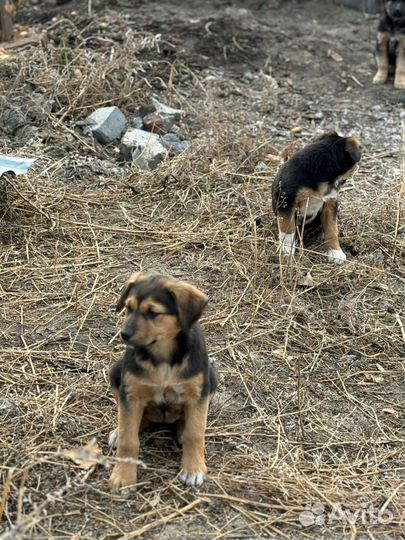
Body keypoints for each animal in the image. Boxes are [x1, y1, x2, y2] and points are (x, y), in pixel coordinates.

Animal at [106, 272, 215, 492]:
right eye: (128, 308)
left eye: (153, 312)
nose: (124, 334)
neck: (163, 355)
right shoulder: (131, 394)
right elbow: (129, 440)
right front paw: (123, 476)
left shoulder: (198, 393)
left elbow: (195, 432)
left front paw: (193, 469)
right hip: (115, 373)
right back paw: (118, 432)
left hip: (212, 378)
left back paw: (181, 430)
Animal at [270, 132, 362, 264]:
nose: (357, 167)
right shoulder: (287, 203)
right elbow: (288, 230)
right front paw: (286, 251)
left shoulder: (330, 203)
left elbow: (332, 229)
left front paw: (335, 252)